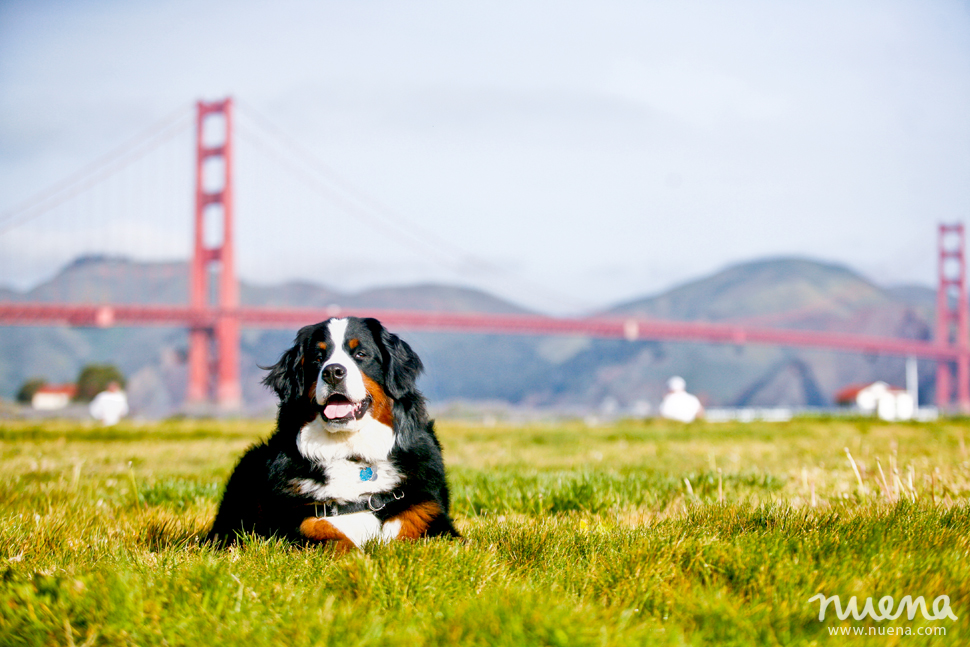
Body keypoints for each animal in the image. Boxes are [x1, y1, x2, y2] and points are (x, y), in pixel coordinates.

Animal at [205, 316, 462, 548]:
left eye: (360, 354)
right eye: (318, 358)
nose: (332, 372)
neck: (352, 453)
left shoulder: (426, 515)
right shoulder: (298, 522)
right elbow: (336, 540)